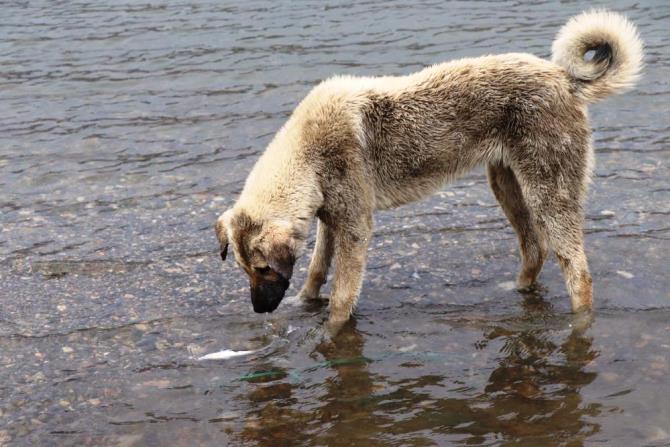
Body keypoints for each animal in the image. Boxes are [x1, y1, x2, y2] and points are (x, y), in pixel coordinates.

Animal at [217, 9, 644, 326]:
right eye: (244, 269)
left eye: (264, 269)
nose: (259, 310)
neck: (308, 154)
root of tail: (564, 79)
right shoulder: (329, 219)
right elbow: (317, 270)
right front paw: (305, 302)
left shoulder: (354, 227)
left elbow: (341, 297)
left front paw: (330, 333)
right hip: (506, 184)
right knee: (534, 248)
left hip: (549, 193)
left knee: (578, 273)